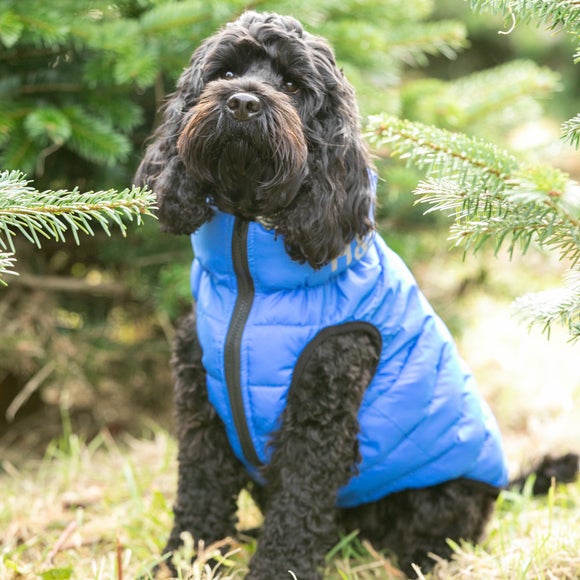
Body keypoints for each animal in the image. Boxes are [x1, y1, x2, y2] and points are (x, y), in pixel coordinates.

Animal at [135, 11, 576, 576]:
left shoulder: (320, 416)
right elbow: (200, 498)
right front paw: (179, 562)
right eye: (225, 73)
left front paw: (277, 567)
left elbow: (297, 511)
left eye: (292, 85)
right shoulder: (201, 408)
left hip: (440, 493)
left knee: (443, 534)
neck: (249, 277)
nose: (242, 102)